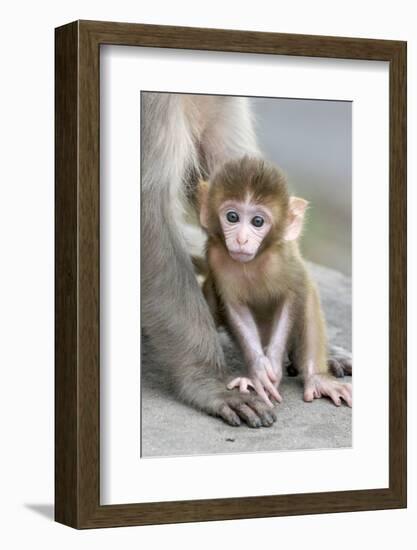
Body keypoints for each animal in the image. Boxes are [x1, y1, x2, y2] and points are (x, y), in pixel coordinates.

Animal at [198, 157, 352, 412]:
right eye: (232, 217)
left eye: (258, 221)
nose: (241, 239)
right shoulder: (217, 258)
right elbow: (234, 306)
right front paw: (259, 372)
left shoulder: (284, 259)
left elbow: (294, 295)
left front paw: (273, 364)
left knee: (308, 295)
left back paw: (317, 377)